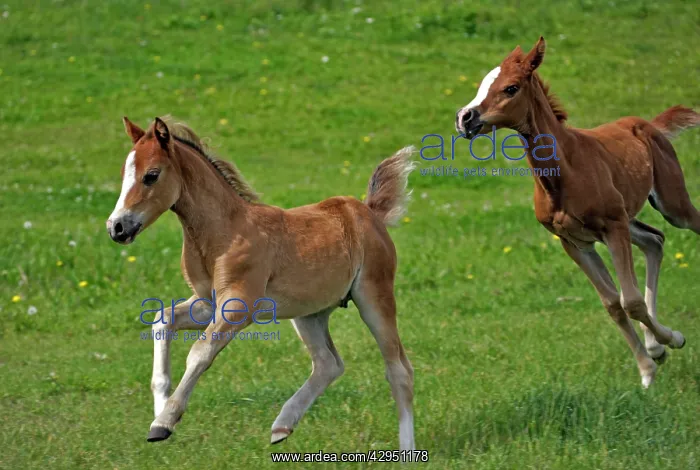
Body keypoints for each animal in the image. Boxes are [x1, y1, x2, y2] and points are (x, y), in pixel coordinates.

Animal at [106, 116, 416, 449]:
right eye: (124, 174)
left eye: (151, 175)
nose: (117, 227)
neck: (223, 232)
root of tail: (369, 211)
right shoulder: (207, 302)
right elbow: (163, 320)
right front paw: (160, 410)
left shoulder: (238, 305)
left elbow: (200, 352)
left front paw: (164, 422)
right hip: (309, 313)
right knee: (328, 363)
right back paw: (282, 426)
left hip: (374, 295)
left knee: (399, 370)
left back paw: (407, 450)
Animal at [455, 37, 700, 388]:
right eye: (481, 86)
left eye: (511, 88)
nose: (465, 118)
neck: (564, 175)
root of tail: (648, 125)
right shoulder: (574, 242)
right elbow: (613, 304)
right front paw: (649, 364)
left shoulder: (612, 227)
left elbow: (631, 300)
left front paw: (674, 340)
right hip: (627, 218)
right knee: (654, 240)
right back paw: (654, 346)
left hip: (670, 204)